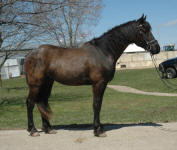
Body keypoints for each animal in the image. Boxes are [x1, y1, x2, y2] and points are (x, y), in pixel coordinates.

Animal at [24, 14, 159, 137]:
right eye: (143, 30)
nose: (156, 48)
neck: (103, 51)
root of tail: (30, 54)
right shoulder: (98, 83)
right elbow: (96, 105)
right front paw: (98, 130)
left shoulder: (103, 84)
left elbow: (99, 104)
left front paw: (99, 127)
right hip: (35, 84)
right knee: (30, 102)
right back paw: (33, 130)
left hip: (47, 83)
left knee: (42, 101)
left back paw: (48, 129)